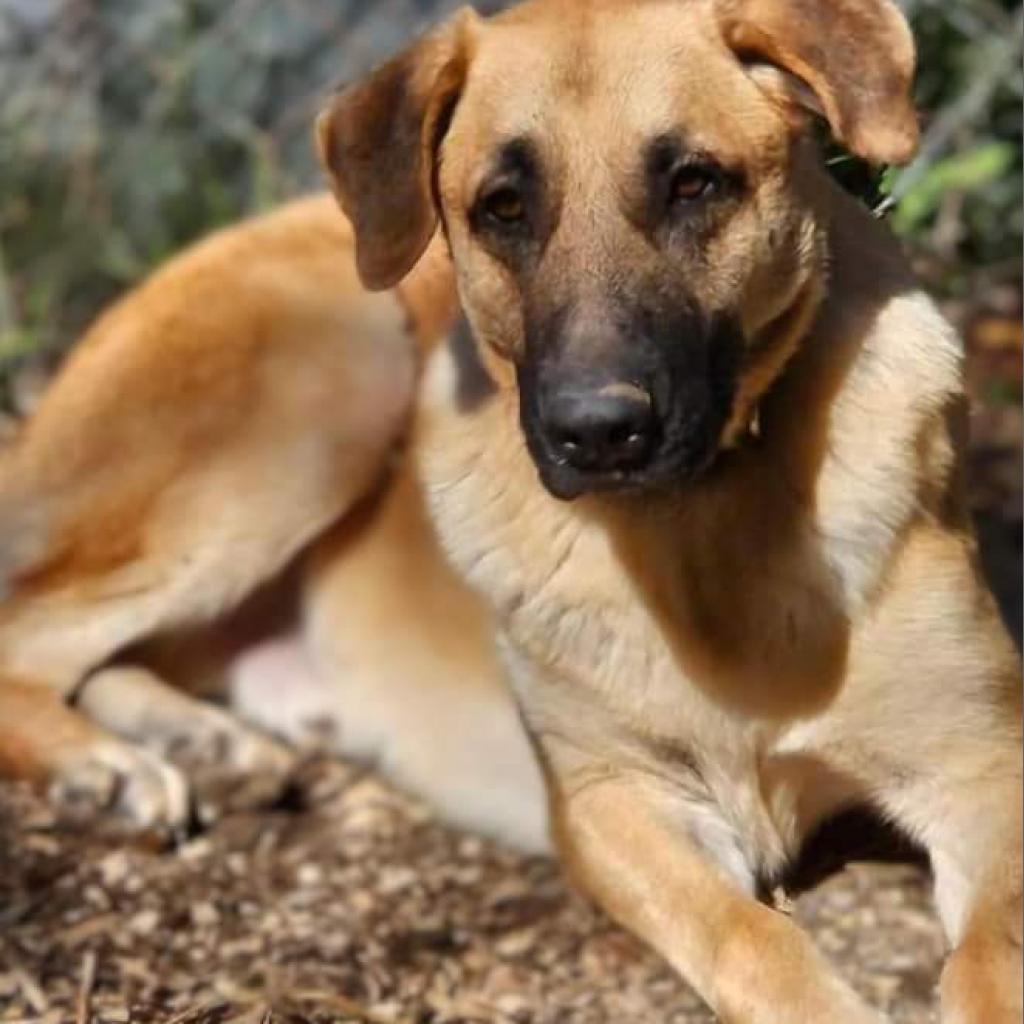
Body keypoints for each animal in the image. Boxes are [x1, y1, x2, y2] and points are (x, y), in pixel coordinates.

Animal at [2, 0, 1024, 1019]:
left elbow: (988, 954)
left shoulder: (982, 764)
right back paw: (107, 767)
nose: (596, 432)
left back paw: (193, 736)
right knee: (29, 634)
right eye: (503, 207)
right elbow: (753, 939)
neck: (699, 531)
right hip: (335, 372)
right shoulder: (613, 800)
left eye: (694, 183)